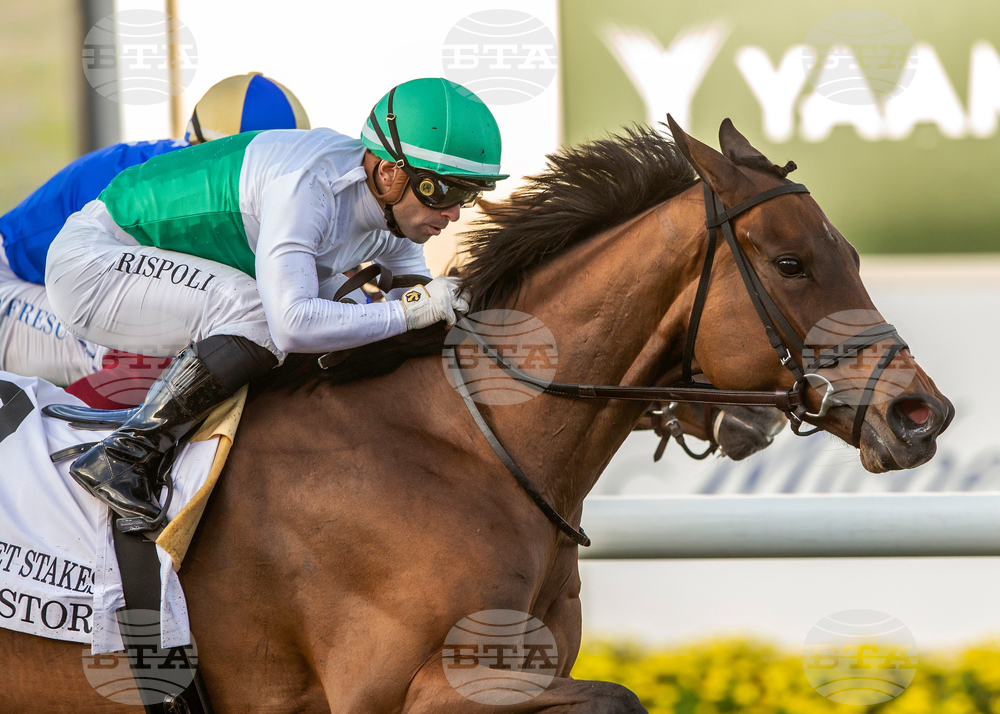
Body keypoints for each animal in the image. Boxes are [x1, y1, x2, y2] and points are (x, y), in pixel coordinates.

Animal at [0, 117, 952, 713]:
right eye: (792, 263)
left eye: (848, 253)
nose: (921, 413)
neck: (469, 448)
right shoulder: (407, 691)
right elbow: (621, 698)